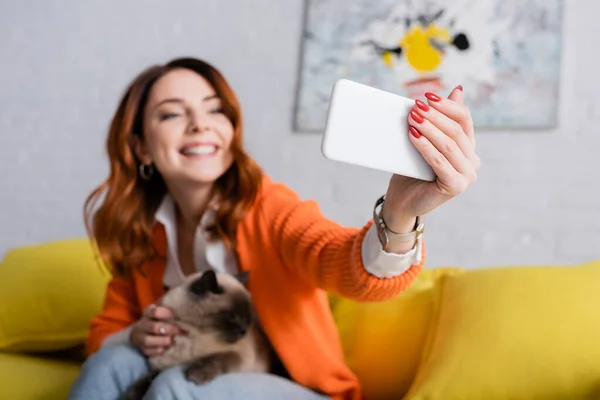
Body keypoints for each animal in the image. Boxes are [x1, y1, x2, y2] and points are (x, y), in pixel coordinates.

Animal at [125, 270, 274, 398]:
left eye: (248, 319)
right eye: (233, 317)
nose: (243, 331)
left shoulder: (238, 356)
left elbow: (215, 357)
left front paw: (196, 374)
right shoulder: (164, 366)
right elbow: (146, 380)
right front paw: (131, 395)